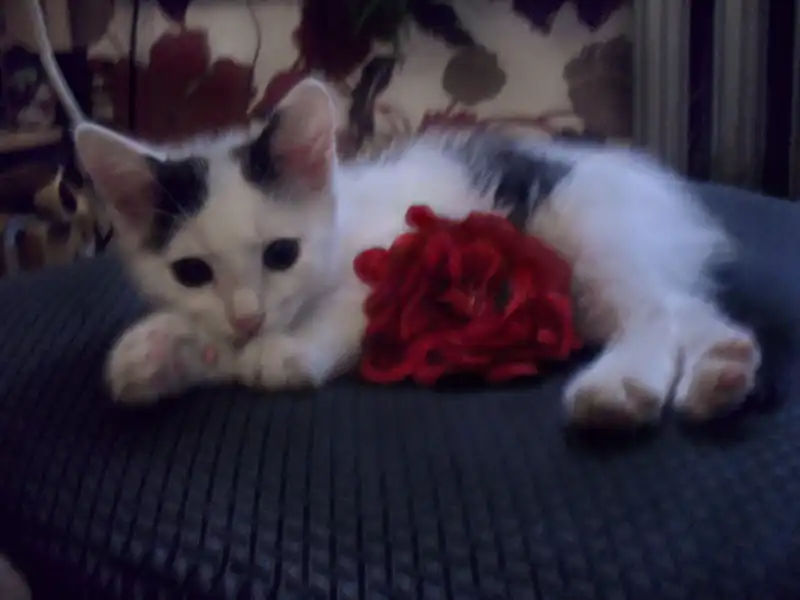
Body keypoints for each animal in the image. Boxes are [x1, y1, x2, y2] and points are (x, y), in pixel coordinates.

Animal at [26, 0, 760, 428]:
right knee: (686, 306)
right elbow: (214, 348)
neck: (341, 218)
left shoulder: (398, 258)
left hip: (582, 231)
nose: (249, 317)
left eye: (281, 254)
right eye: (191, 273)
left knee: (655, 312)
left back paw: (621, 386)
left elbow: (335, 317)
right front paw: (160, 349)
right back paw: (722, 368)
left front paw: (284, 349)